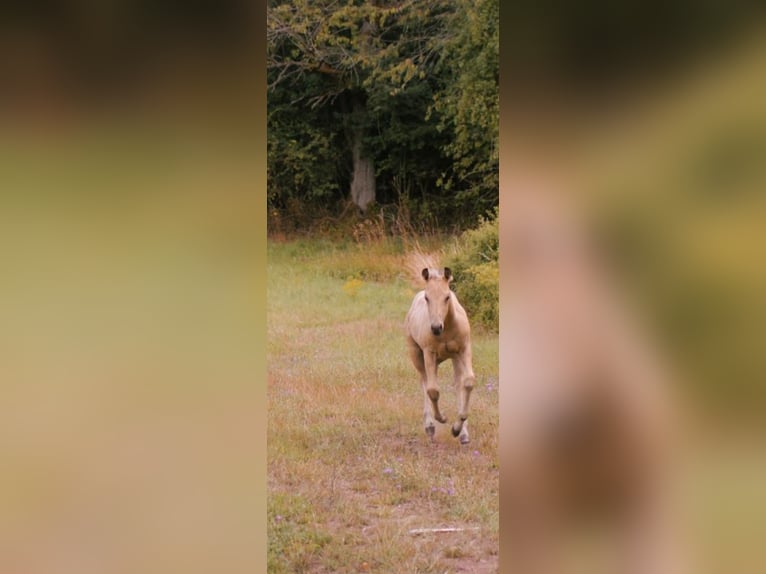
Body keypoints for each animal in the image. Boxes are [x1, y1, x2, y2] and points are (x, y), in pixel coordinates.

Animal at [404, 266, 476, 446]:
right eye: (427, 298)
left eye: (447, 296)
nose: (436, 328)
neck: (448, 328)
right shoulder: (429, 352)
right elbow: (433, 390)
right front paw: (442, 418)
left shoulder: (464, 349)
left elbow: (468, 382)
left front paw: (457, 429)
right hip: (417, 354)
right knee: (424, 382)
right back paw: (430, 426)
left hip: (454, 358)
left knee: (458, 384)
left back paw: (462, 433)